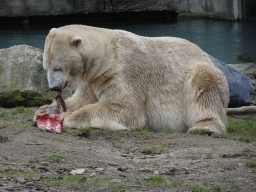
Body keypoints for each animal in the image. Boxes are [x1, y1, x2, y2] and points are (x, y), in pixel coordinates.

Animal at [37, 24, 229, 134]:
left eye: (58, 68)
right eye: (45, 66)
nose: (53, 87)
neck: (108, 55)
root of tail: (204, 54)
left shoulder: (123, 72)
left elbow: (125, 108)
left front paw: (67, 117)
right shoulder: (93, 78)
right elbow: (82, 99)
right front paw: (45, 109)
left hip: (203, 74)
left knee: (204, 85)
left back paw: (204, 127)